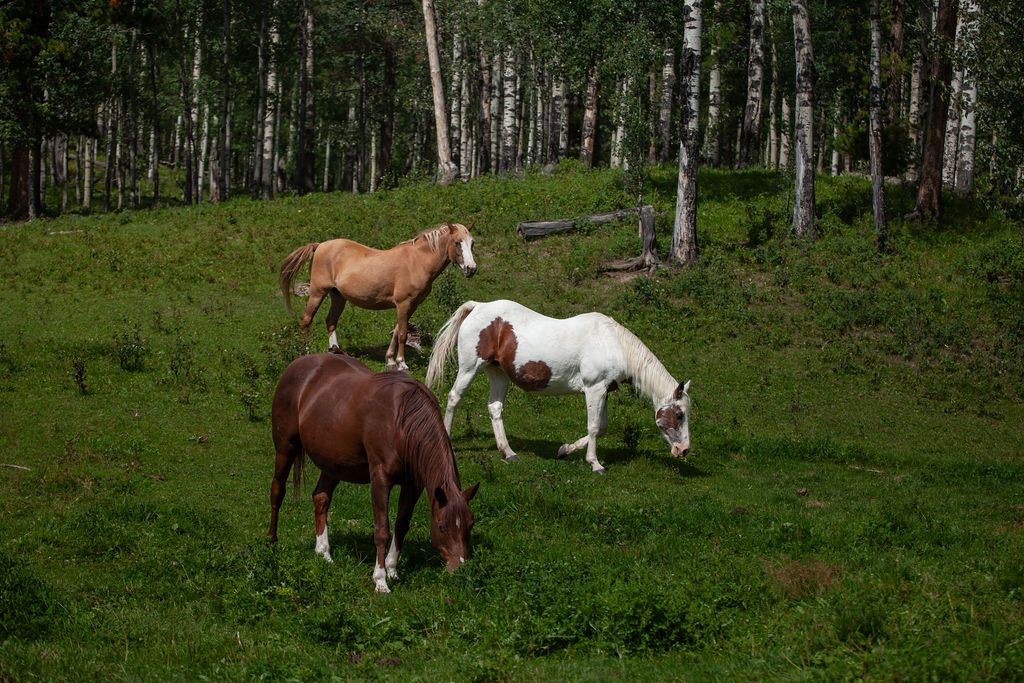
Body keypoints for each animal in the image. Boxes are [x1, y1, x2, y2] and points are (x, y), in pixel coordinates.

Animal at [269, 352, 479, 593]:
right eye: (442, 527)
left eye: (470, 524)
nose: (460, 568)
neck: (402, 421)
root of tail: (298, 364)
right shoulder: (380, 480)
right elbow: (382, 530)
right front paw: (380, 580)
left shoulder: (412, 485)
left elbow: (401, 525)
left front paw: (392, 569)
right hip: (285, 448)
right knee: (277, 491)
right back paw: (271, 541)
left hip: (333, 463)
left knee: (321, 497)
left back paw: (323, 552)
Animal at [279, 222, 478, 370]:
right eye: (458, 242)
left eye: (472, 243)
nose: (471, 269)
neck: (417, 262)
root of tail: (319, 245)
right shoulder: (404, 304)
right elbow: (403, 334)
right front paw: (401, 363)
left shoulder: (410, 306)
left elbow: (397, 330)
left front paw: (390, 360)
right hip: (317, 292)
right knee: (306, 319)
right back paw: (307, 352)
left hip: (338, 296)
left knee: (331, 321)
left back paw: (335, 351)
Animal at [426, 299, 692, 474]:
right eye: (679, 414)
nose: (684, 449)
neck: (612, 343)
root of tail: (478, 306)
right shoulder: (594, 389)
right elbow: (594, 426)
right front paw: (595, 463)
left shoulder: (604, 390)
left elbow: (602, 427)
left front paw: (564, 450)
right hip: (470, 368)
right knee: (454, 398)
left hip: (498, 372)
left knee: (495, 408)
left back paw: (509, 452)